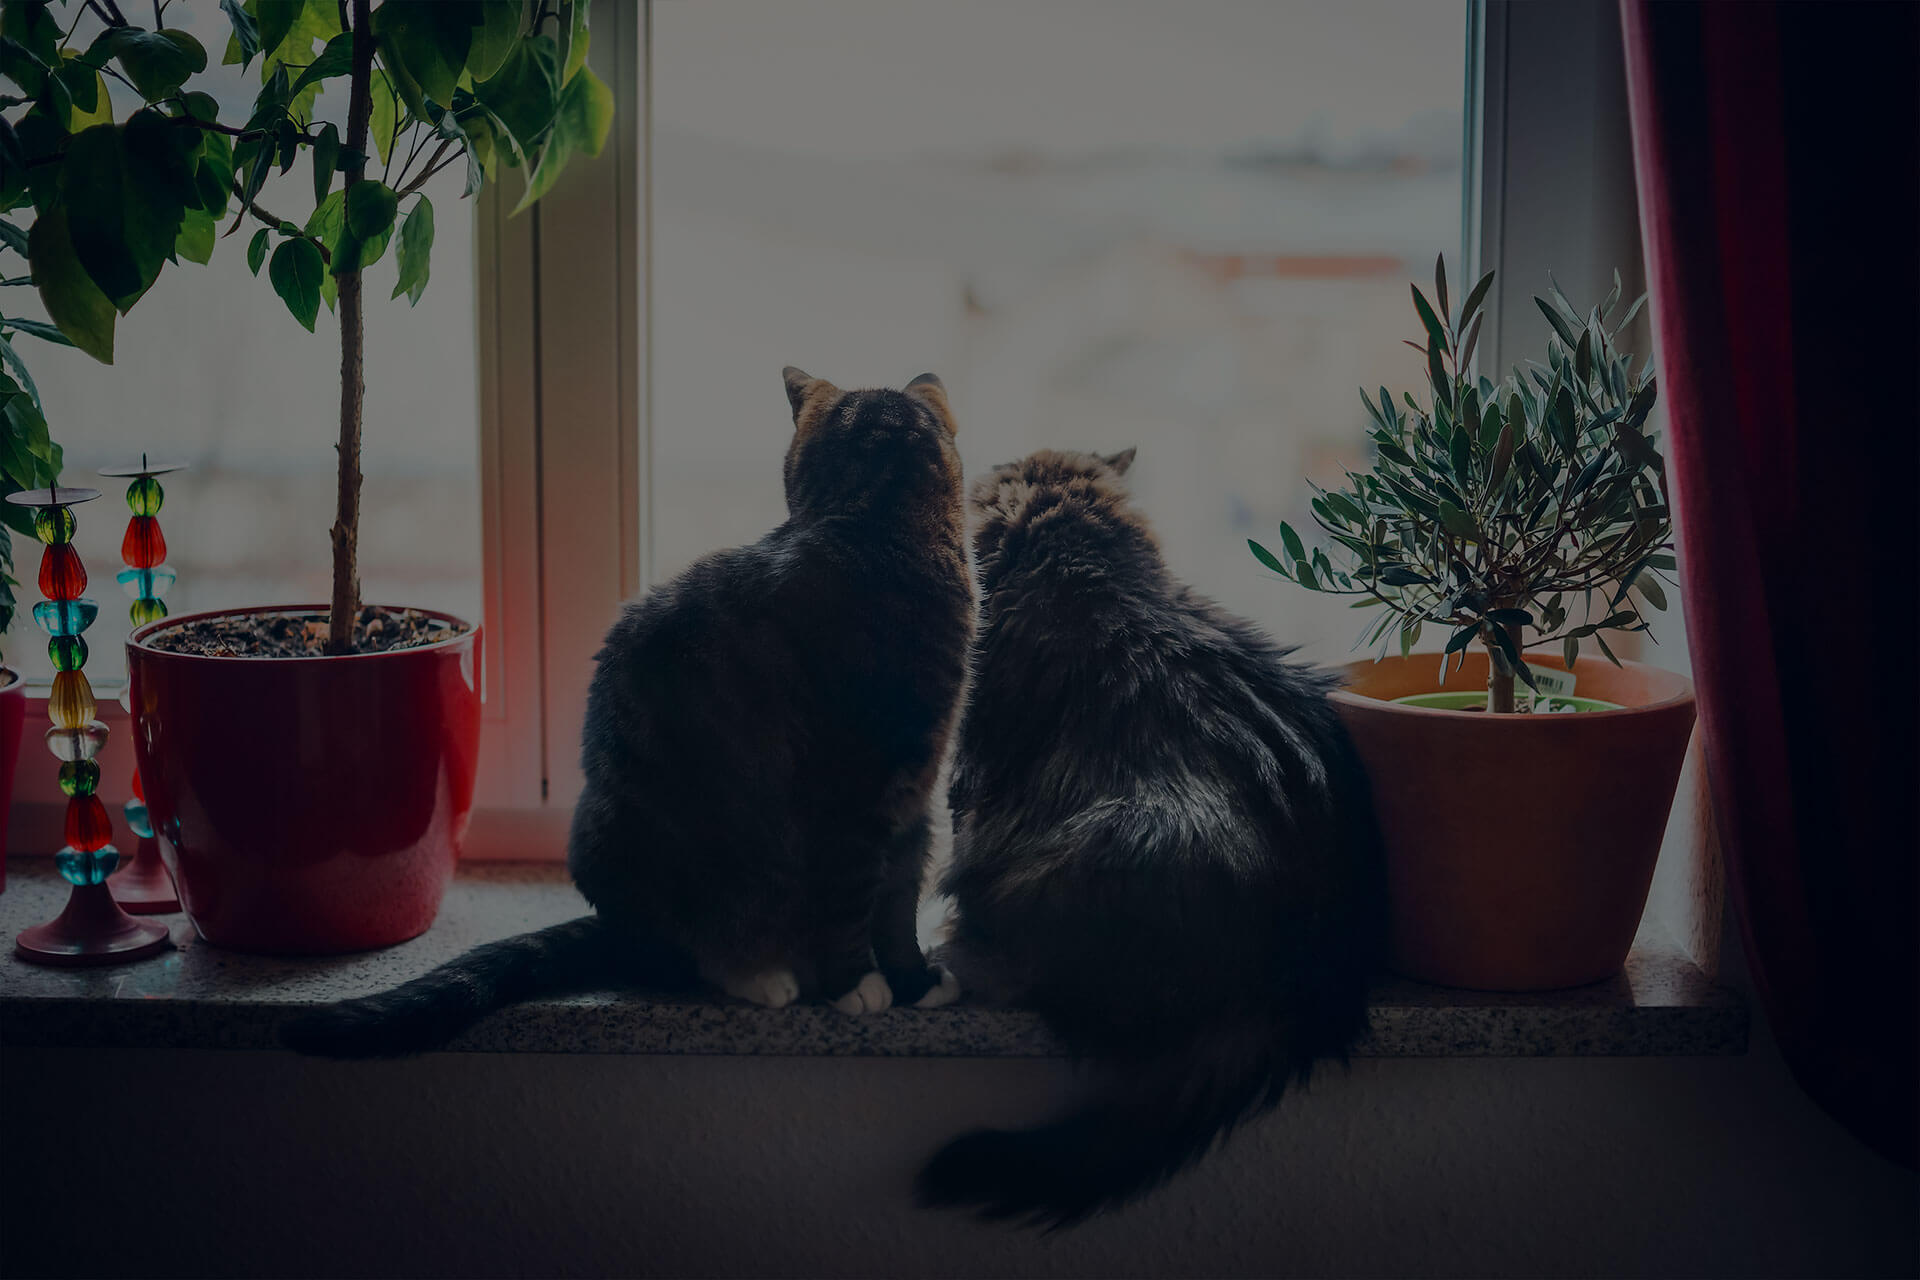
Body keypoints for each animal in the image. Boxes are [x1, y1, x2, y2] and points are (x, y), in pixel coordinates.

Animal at [280, 364, 975, 1059]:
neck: (878, 526)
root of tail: (616, 928)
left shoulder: (912, 799)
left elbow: (897, 903)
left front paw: (913, 980)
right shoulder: (847, 796)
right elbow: (849, 897)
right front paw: (855, 984)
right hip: (636, 844)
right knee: (688, 954)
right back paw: (763, 974)